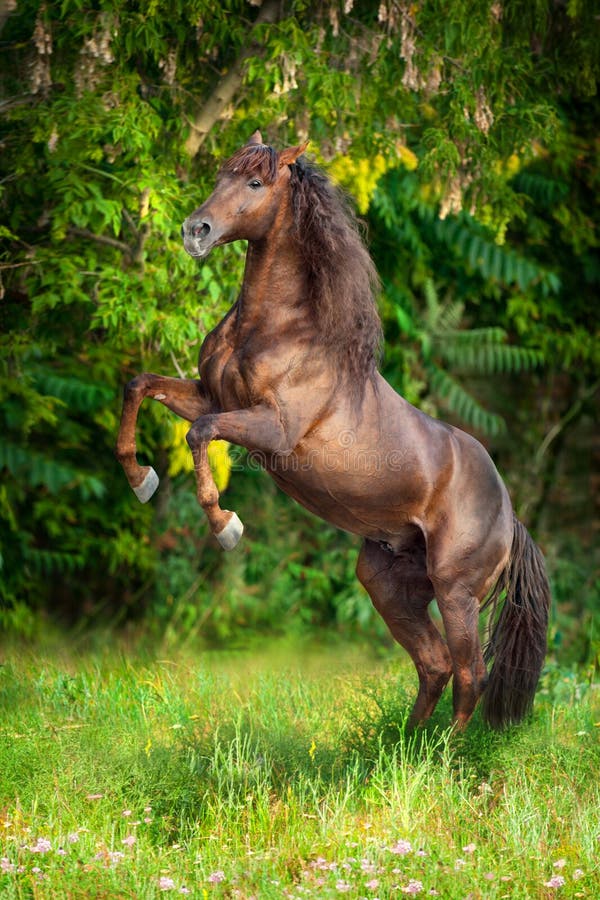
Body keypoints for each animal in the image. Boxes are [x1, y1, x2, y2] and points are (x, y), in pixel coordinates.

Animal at [116, 131, 550, 730]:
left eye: (256, 181)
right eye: (222, 174)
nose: (194, 231)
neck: (278, 328)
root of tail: (510, 517)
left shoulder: (270, 429)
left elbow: (199, 434)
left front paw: (226, 525)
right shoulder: (210, 395)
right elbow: (139, 387)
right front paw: (141, 480)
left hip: (456, 591)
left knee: (470, 675)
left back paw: (444, 751)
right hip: (388, 582)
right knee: (434, 665)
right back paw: (403, 747)